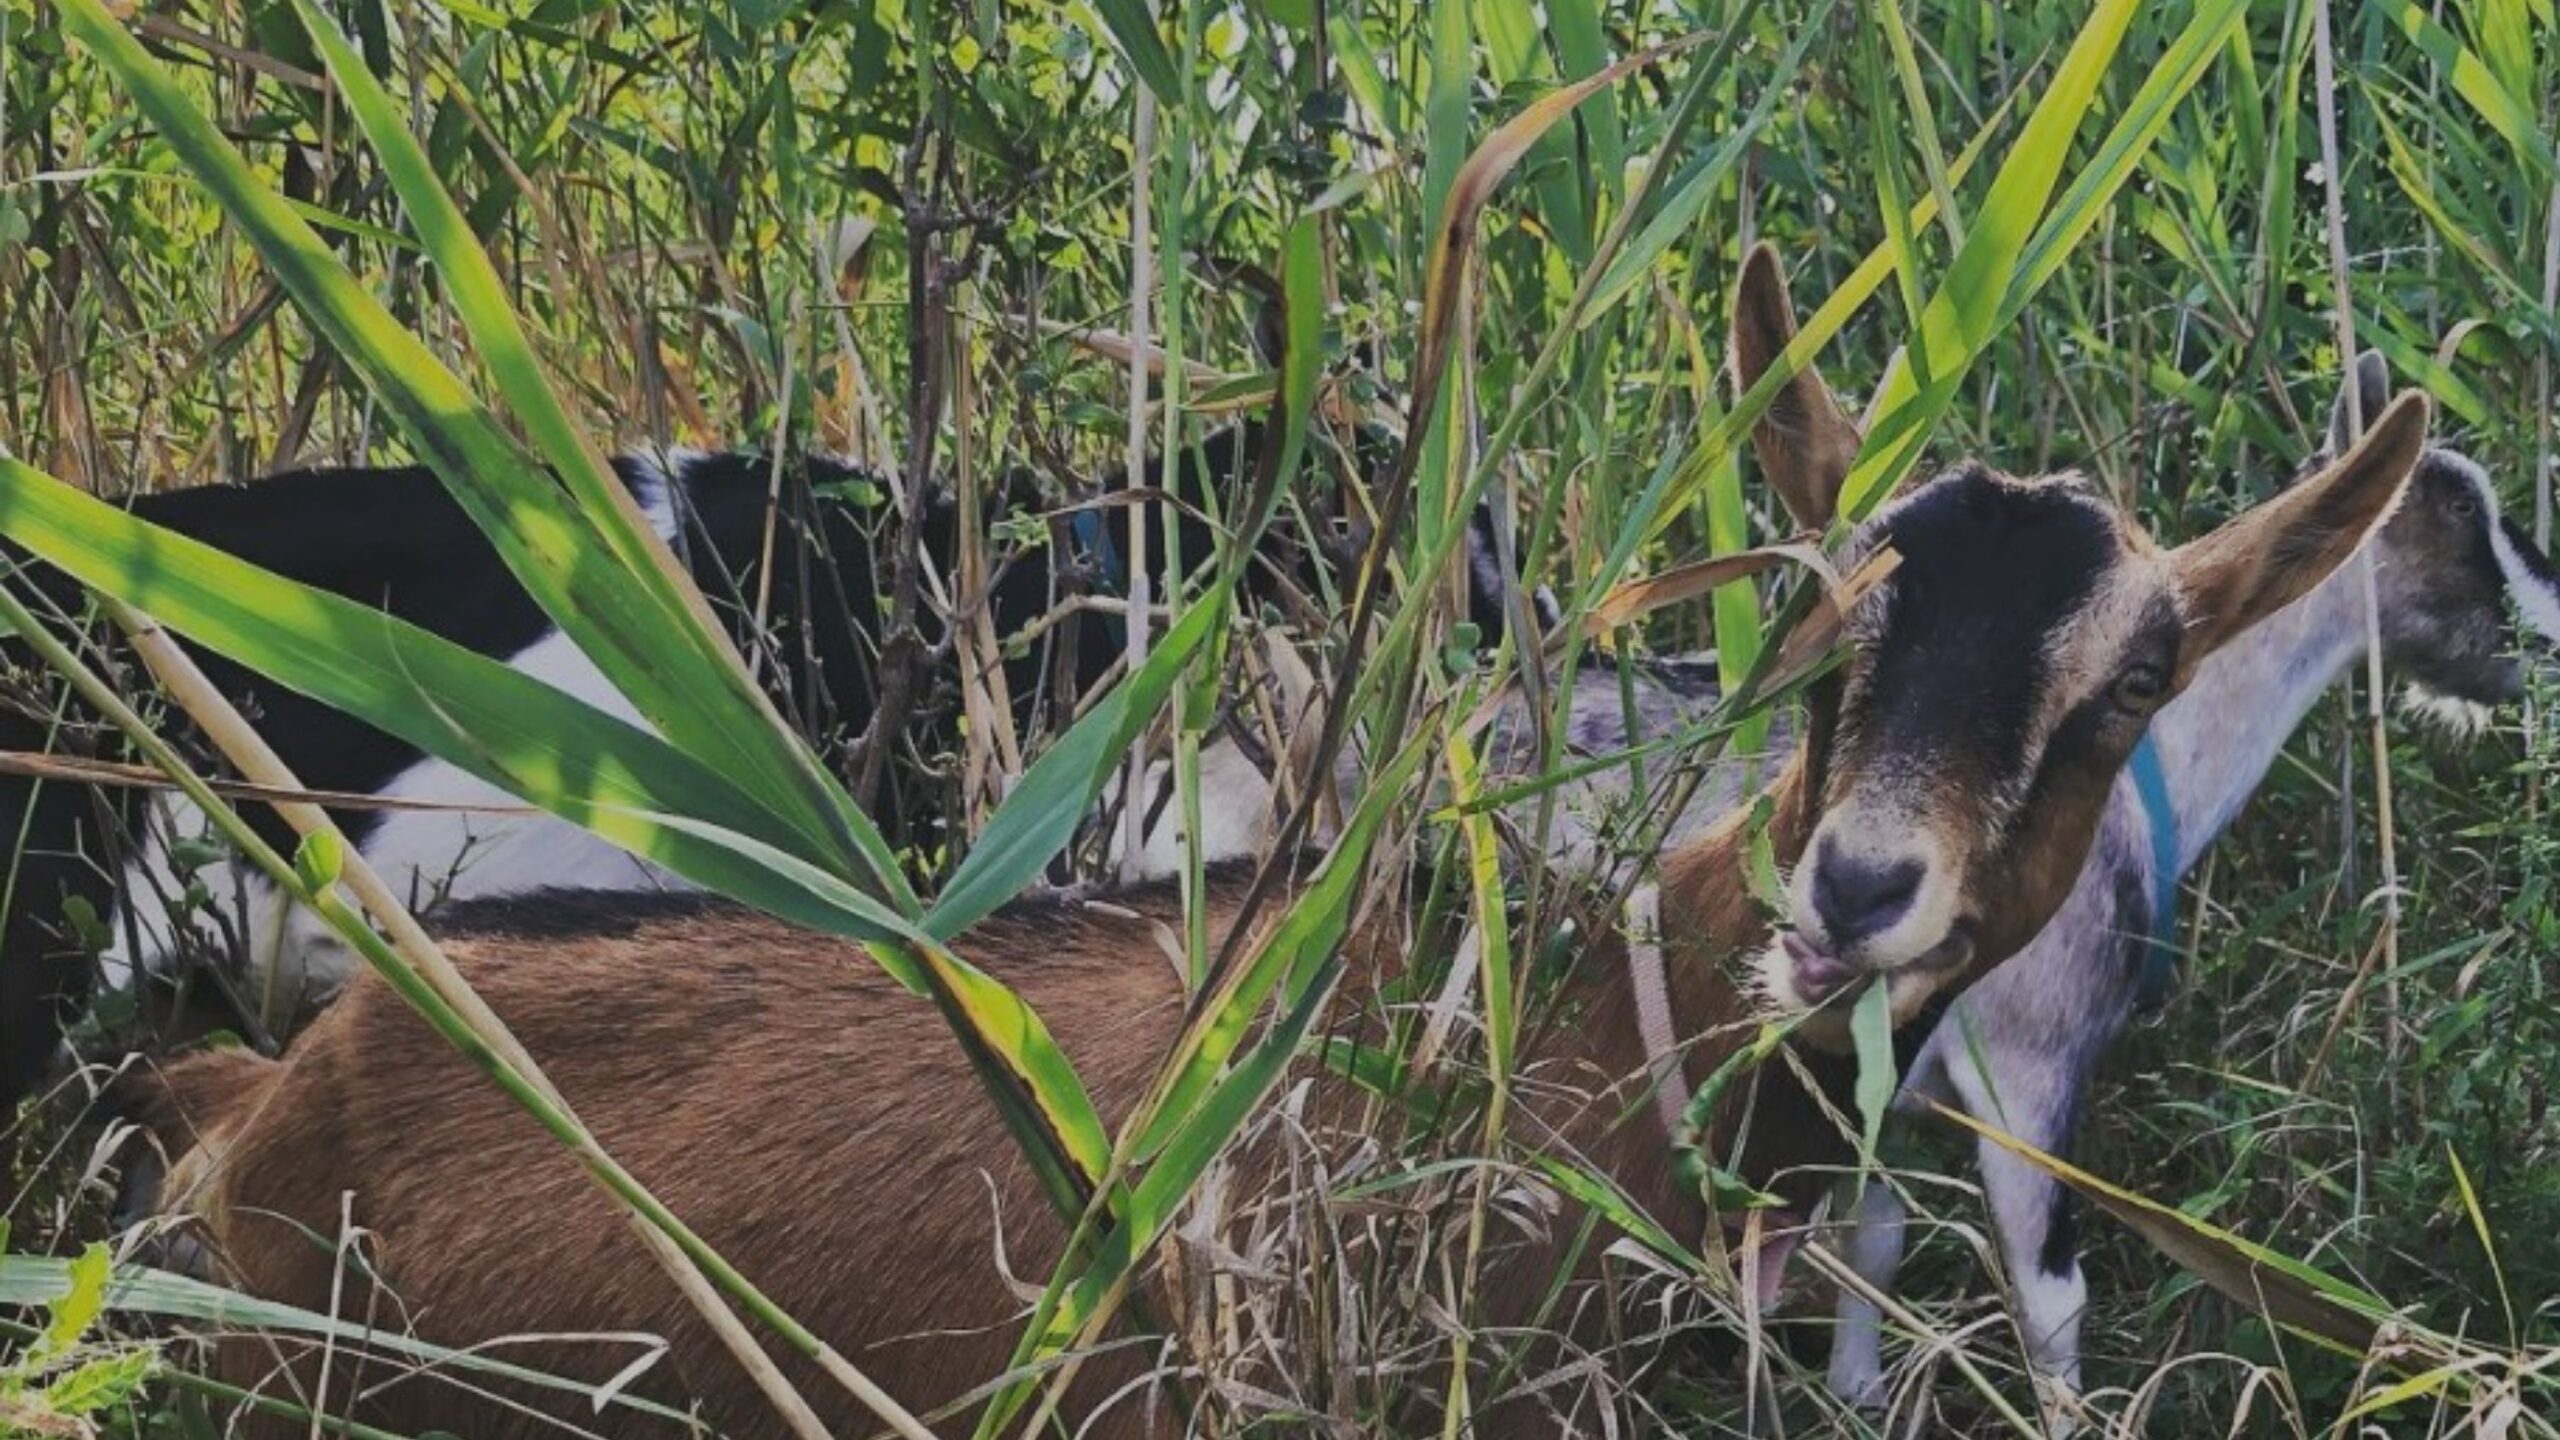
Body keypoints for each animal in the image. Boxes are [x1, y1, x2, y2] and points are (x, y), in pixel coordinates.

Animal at [1822, 351, 2560, 1414]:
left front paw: (1853, 1395)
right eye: (2462, 511)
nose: (2553, 639)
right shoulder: (2027, 1062)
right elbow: (2051, 1302)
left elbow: (1865, 1239)